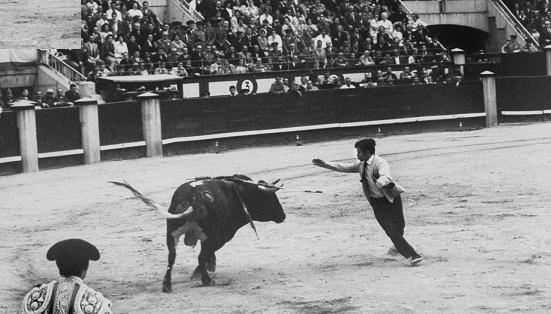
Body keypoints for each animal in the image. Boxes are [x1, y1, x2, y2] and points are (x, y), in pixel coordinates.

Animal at [110, 175, 286, 294]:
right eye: (271, 198)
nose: (283, 216)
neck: (238, 193)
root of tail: (193, 198)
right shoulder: (221, 237)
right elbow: (208, 254)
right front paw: (204, 271)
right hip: (208, 234)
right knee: (200, 256)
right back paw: (206, 280)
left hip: (172, 232)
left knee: (171, 256)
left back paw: (167, 285)